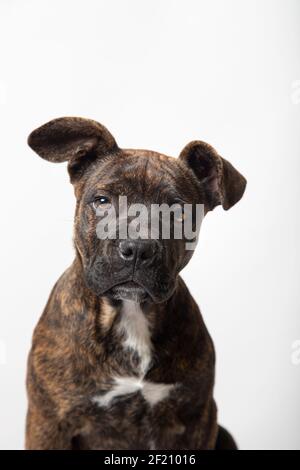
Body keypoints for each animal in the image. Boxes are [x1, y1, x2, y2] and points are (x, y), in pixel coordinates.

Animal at [25, 115, 246, 450]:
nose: (138, 248)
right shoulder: (48, 421)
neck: (130, 313)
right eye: (102, 201)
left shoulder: (197, 419)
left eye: (178, 212)